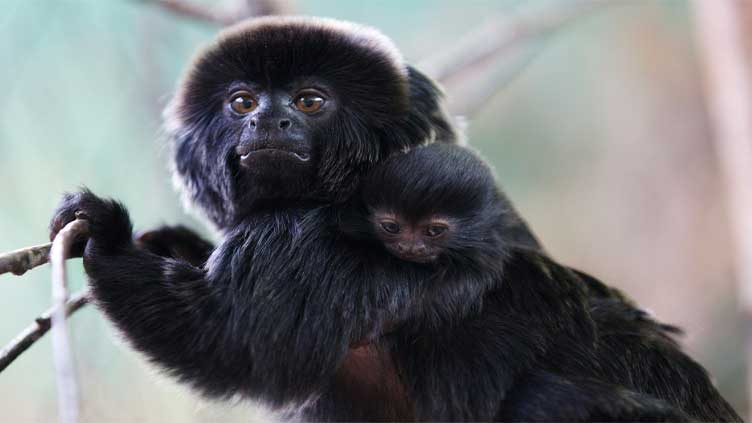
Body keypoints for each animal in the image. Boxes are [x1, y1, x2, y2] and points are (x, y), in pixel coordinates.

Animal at [48, 14, 740, 422]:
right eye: (241, 102)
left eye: (310, 101)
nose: (268, 120)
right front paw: (172, 241)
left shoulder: (313, 246)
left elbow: (235, 342)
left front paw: (106, 234)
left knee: (547, 399)